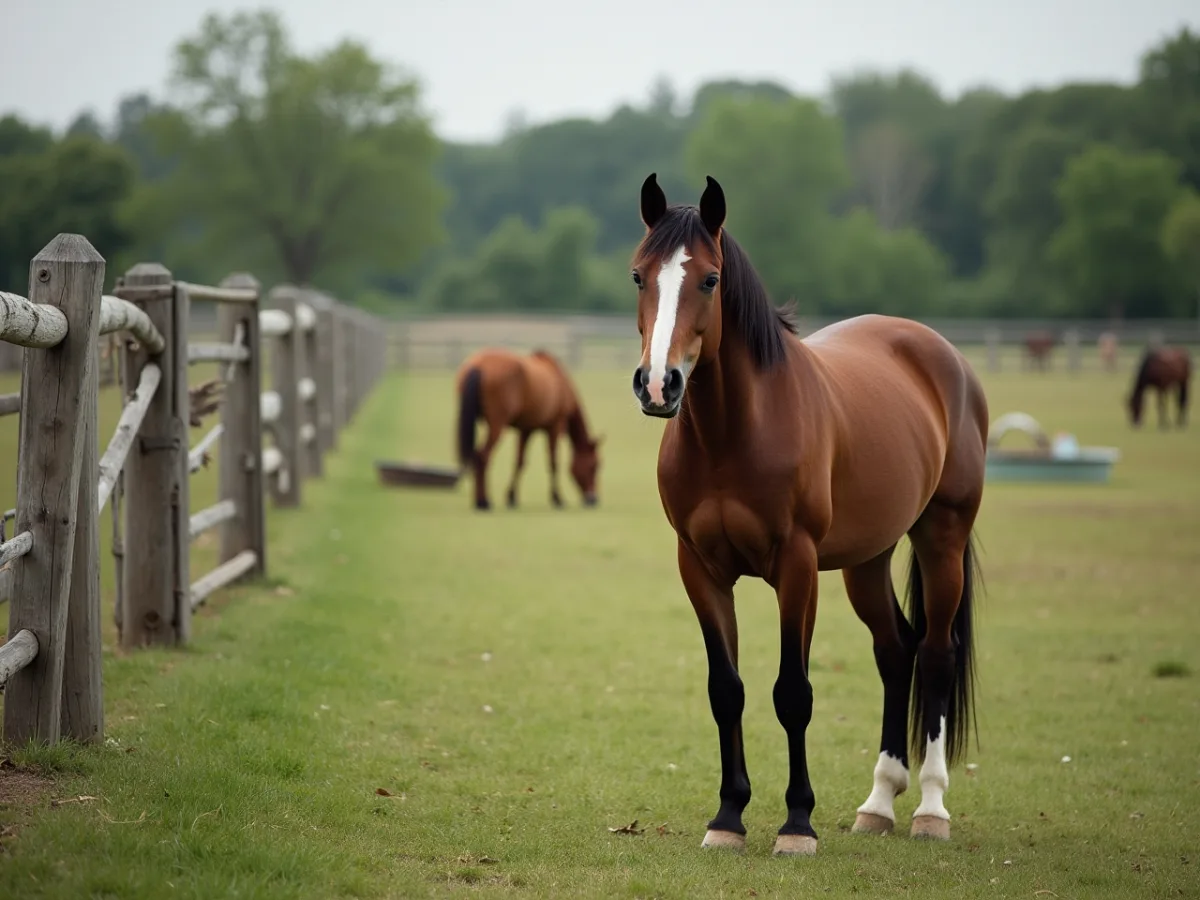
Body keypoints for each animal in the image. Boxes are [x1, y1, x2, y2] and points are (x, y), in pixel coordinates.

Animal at [455, 347, 602, 510]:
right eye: (594, 466)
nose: (593, 499)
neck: (560, 382)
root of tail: (478, 365)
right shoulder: (555, 426)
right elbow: (553, 462)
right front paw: (557, 498)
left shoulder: (526, 430)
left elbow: (519, 462)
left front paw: (512, 497)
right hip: (497, 425)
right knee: (482, 456)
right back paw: (483, 501)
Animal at [628, 173, 988, 856]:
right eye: (639, 276)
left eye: (709, 279)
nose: (658, 385)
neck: (734, 433)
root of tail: (942, 355)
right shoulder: (701, 569)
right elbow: (726, 691)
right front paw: (728, 817)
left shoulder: (795, 567)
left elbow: (792, 693)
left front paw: (797, 824)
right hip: (867, 560)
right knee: (895, 649)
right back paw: (878, 803)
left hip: (942, 538)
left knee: (934, 655)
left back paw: (931, 809)